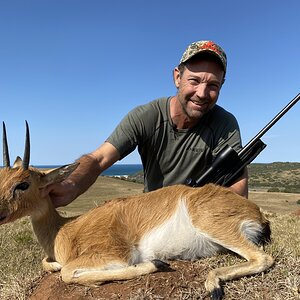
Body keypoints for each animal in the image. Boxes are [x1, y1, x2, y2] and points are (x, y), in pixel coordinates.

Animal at [0, 122, 274, 300]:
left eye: (23, 184)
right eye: (0, 177)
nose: (0, 213)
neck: (65, 230)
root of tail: (257, 212)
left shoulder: (117, 254)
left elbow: (67, 273)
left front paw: (155, 264)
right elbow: (51, 265)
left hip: (213, 225)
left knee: (262, 258)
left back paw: (211, 285)